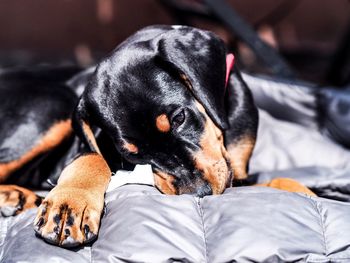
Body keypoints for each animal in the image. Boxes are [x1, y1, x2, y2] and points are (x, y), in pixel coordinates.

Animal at [0, 24, 312, 248]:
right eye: (131, 154)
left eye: (179, 118)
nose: (198, 195)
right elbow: (90, 156)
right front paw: (68, 206)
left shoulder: (239, 172)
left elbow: (277, 182)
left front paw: (308, 194)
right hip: (53, 104)